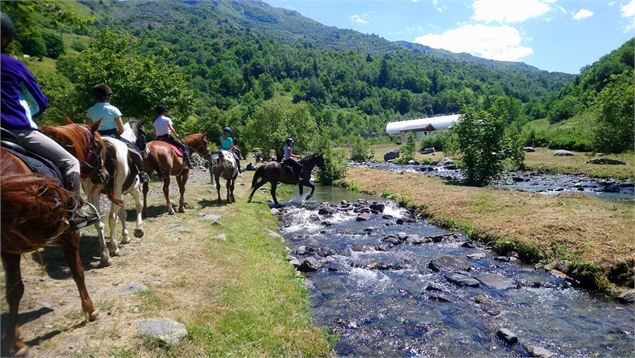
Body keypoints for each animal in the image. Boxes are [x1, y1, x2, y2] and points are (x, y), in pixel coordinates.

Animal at [0, 121, 106, 356]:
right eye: (98, 147)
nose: (104, 175)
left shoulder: (9, 249)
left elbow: (13, 291)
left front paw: (14, 340)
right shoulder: (70, 233)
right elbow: (78, 272)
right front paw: (90, 309)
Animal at [78, 120, 148, 266]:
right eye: (144, 135)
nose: (146, 151)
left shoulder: (119, 195)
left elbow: (123, 214)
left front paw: (125, 237)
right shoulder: (134, 189)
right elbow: (138, 206)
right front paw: (138, 230)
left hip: (93, 195)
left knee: (98, 221)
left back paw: (105, 255)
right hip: (117, 191)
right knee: (111, 218)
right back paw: (114, 249)